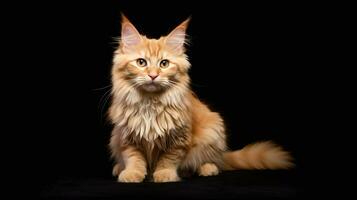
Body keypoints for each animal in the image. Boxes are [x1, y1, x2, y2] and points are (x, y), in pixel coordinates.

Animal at [108, 14, 292, 182]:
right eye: (141, 62)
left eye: (164, 64)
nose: (153, 76)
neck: (150, 103)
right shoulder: (126, 137)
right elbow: (134, 158)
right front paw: (132, 174)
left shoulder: (179, 138)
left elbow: (168, 159)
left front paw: (164, 174)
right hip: (115, 138)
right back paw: (118, 168)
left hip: (213, 131)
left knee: (211, 162)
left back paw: (205, 169)